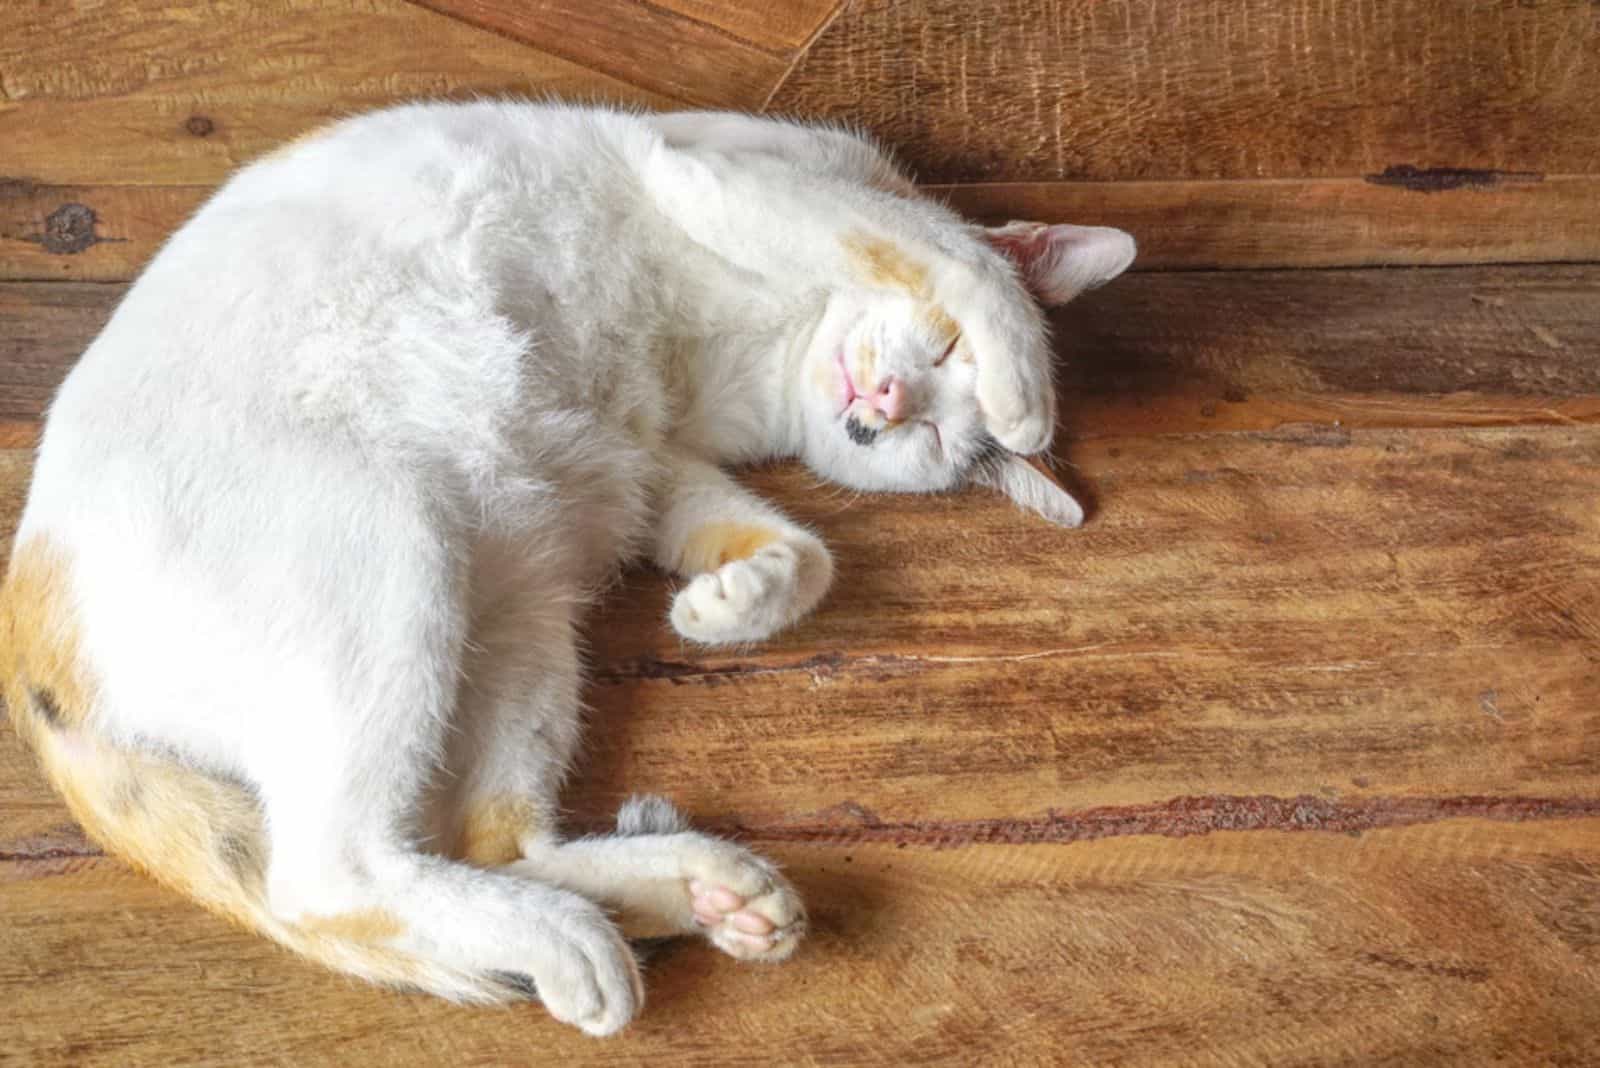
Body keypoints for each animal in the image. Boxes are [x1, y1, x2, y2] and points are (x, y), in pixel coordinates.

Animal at [0, 99, 1139, 1036]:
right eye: (945, 367)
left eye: (937, 443)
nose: (883, 410)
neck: (766, 361)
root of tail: (34, 656)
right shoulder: (732, 175)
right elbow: (947, 253)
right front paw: (1026, 375)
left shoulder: (651, 460)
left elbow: (801, 550)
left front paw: (733, 600)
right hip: (395, 545)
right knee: (328, 875)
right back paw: (581, 934)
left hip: (527, 589)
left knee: (485, 842)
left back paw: (700, 890)